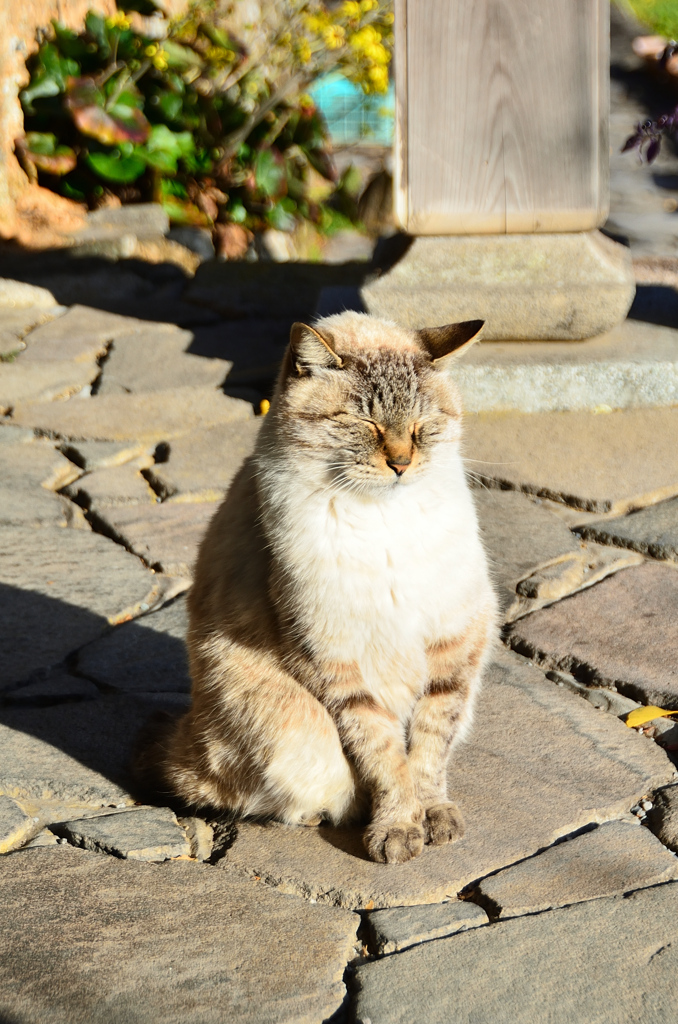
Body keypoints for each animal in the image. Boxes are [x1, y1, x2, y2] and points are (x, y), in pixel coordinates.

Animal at [147, 311, 499, 864]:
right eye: (366, 424)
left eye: (421, 428)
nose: (401, 464)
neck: (386, 518)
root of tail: (186, 735)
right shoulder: (333, 658)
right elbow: (384, 754)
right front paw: (398, 828)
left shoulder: (455, 639)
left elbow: (428, 747)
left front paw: (432, 814)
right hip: (294, 729)